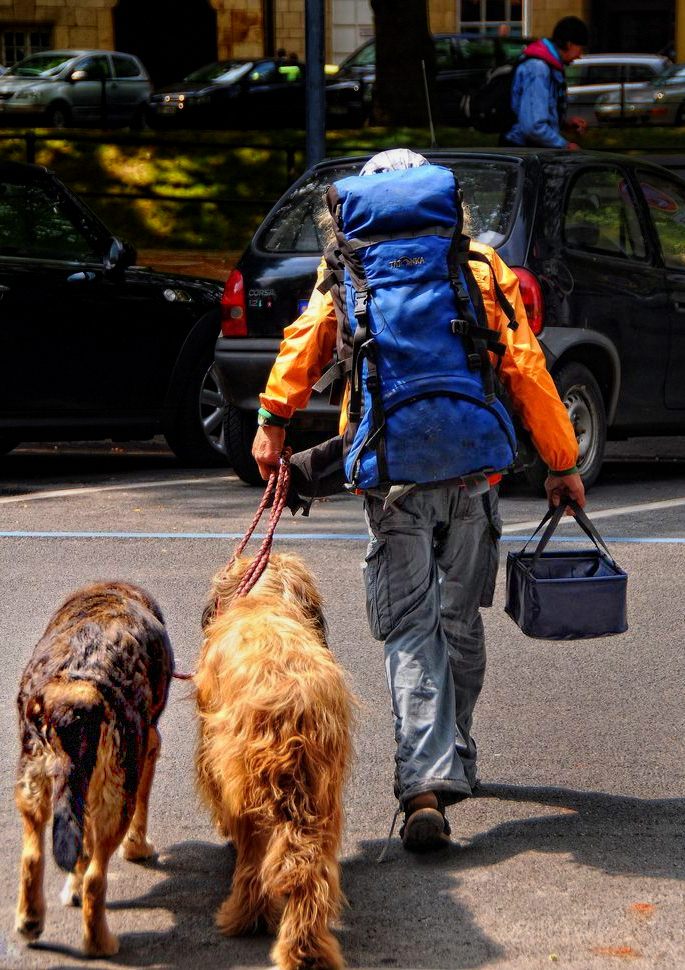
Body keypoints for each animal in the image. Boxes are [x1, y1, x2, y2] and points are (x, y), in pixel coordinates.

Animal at [14, 584, 174, 952]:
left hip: (33, 784)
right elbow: (140, 809)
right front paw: (138, 848)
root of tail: (80, 685)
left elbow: (78, 846)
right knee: (96, 878)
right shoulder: (148, 749)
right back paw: (101, 943)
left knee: (33, 856)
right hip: (115, 801)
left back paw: (30, 921)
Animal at [194, 552, 350, 968]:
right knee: (310, 872)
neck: (265, 600)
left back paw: (244, 919)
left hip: (245, 788)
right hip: (320, 795)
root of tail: (290, 705)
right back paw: (305, 949)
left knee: (254, 863)